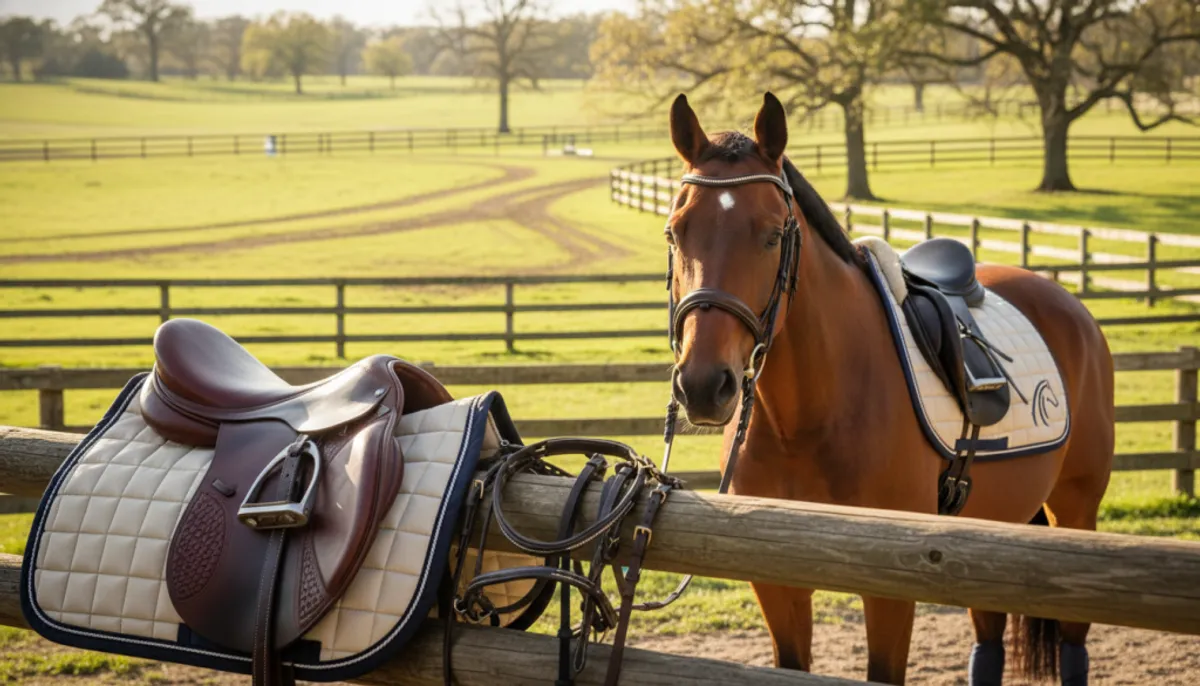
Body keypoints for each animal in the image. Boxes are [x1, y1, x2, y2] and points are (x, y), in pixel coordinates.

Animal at [663, 92, 1114, 685]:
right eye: (676, 231)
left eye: (773, 234)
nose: (701, 384)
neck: (807, 419)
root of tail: (1067, 303)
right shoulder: (776, 580)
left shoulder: (892, 585)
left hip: (1076, 511)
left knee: (1072, 643)